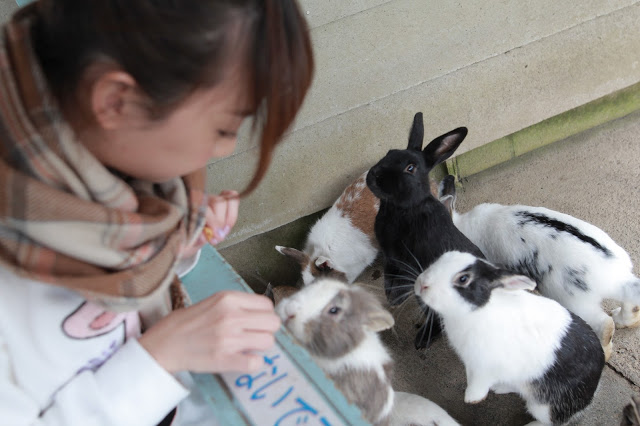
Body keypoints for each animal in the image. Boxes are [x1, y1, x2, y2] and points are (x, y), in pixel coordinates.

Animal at [364, 112, 484, 350]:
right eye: (389, 152)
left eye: (410, 168)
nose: (374, 175)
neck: (403, 209)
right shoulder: (390, 258)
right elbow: (390, 276)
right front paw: (392, 297)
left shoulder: (408, 261)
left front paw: (396, 298)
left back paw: (423, 340)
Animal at [416, 251, 604, 424]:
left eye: (463, 279)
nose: (421, 284)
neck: (478, 311)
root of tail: (593, 389)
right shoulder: (472, 363)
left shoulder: (485, 367)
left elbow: (478, 384)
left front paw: (472, 398)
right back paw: (499, 388)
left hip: (543, 406)